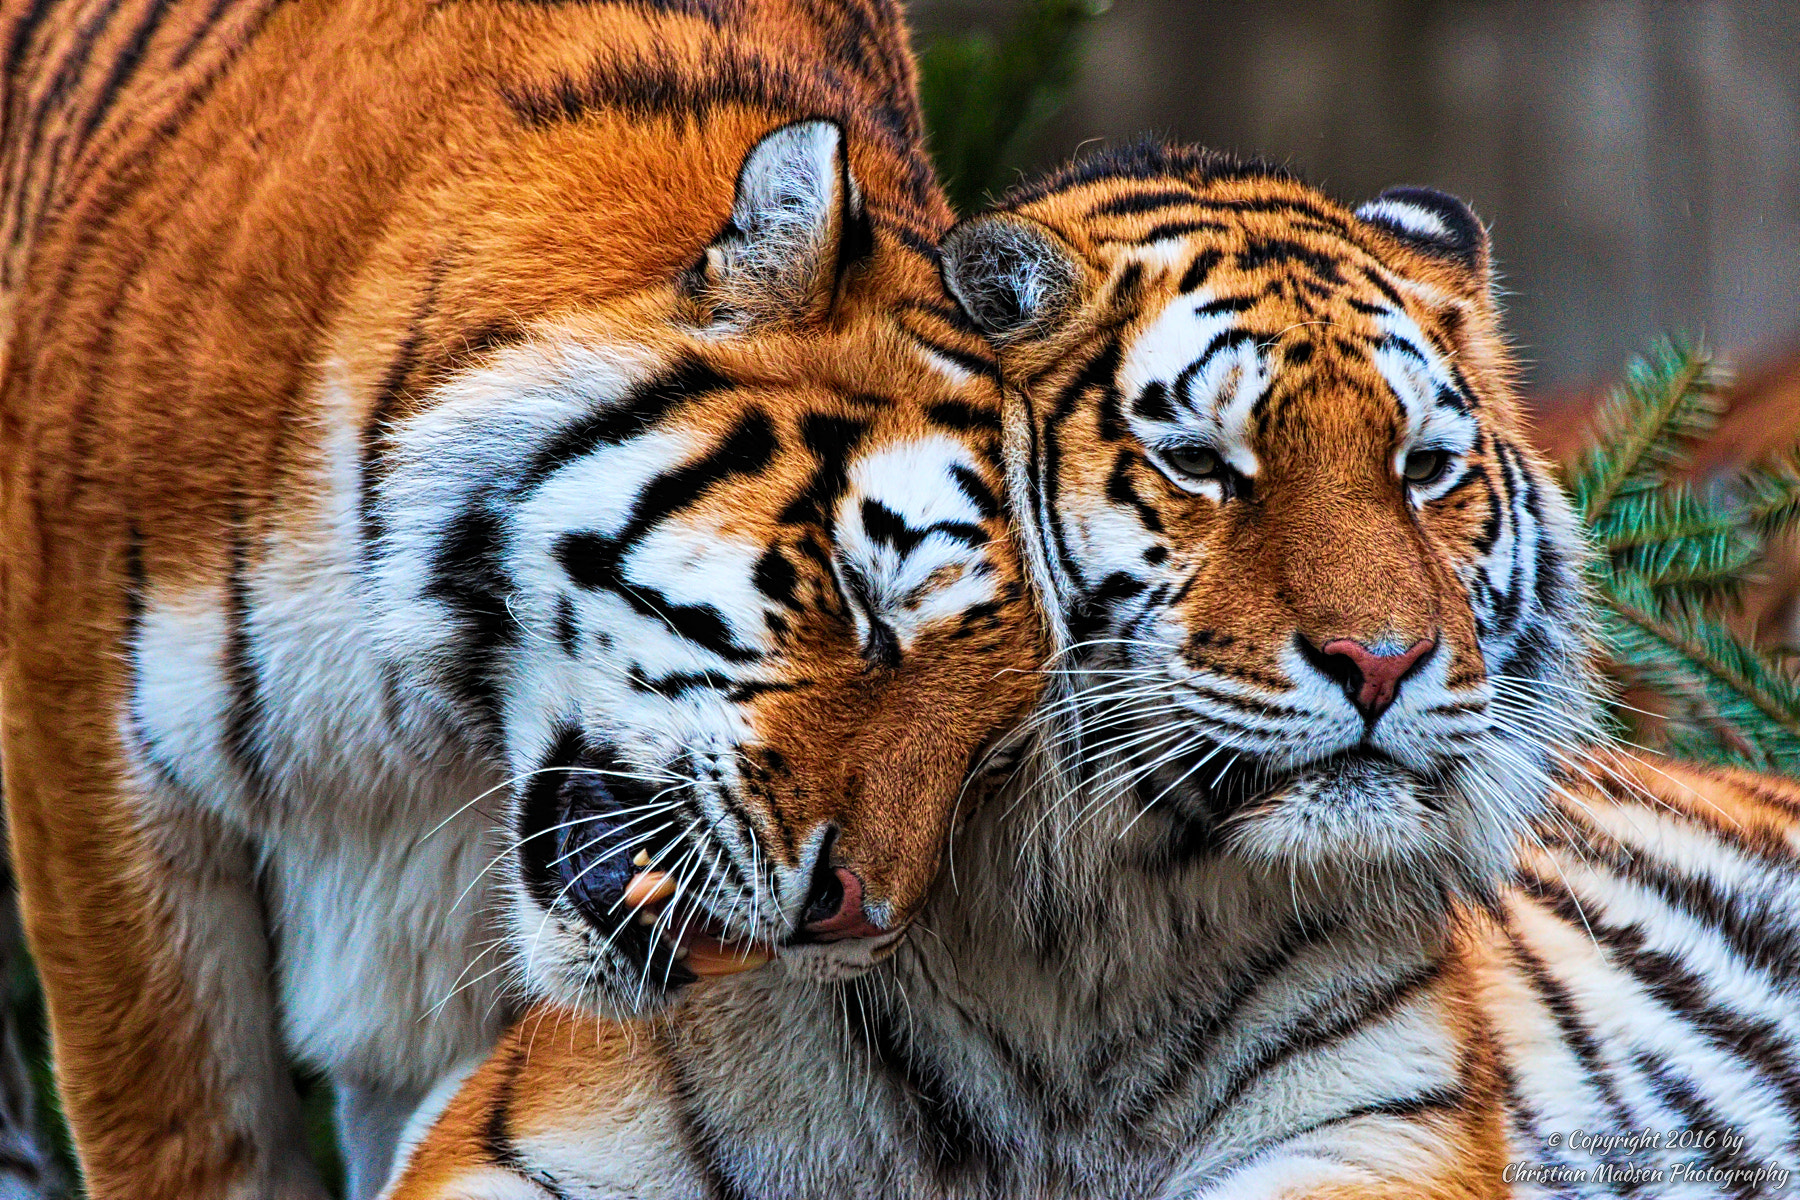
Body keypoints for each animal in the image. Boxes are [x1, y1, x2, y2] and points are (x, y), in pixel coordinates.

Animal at [0, 1, 1046, 1197]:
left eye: (992, 757)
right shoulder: (91, 763)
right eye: (862, 600)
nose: (851, 917)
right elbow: (184, 1136)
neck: (424, 733)